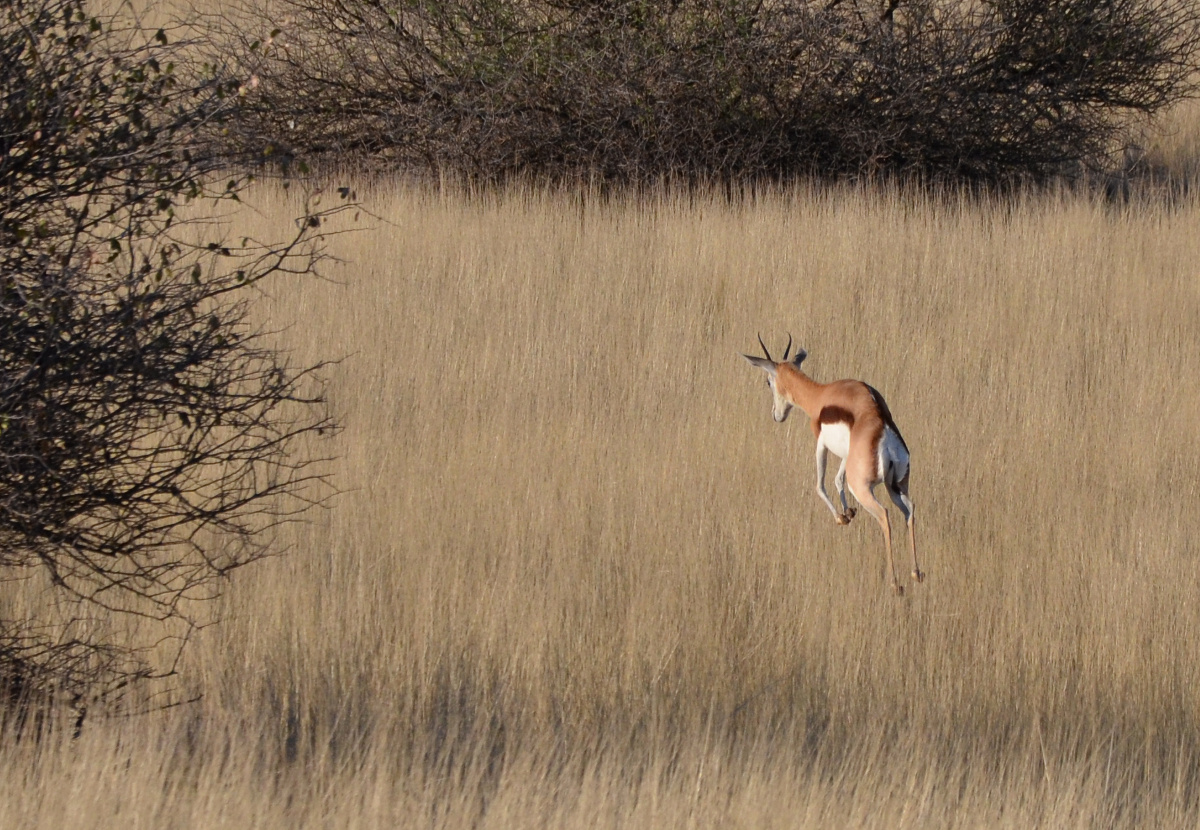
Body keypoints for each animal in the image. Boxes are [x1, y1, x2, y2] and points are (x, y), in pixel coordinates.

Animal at [739, 333, 926, 592]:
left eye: (768, 382)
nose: (776, 415)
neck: (821, 395)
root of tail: (884, 428)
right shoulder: (846, 455)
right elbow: (837, 479)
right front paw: (848, 512)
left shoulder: (820, 443)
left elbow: (819, 484)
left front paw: (841, 517)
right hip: (896, 486)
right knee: (910, 510)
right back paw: (916, 573)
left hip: (863, 488)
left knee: (884, 515)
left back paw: (894, 583)